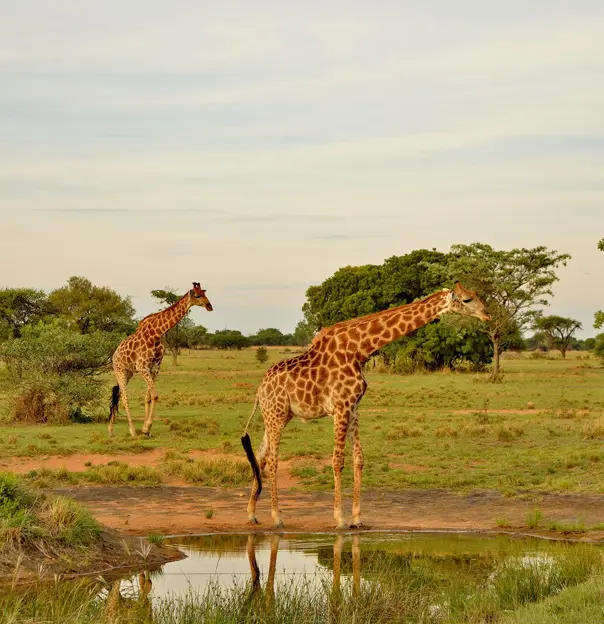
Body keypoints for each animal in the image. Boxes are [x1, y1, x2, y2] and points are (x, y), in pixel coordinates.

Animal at [108, 284, 212, 438]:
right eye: (198, 296)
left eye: (205, 294)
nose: (210, 306)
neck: (156, 334)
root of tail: (114, 355)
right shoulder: (143, 367)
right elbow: (155, 395)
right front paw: (146, 428)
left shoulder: (155, 368)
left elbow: (149, 396)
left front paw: (146, 429)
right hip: (119, 370)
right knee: (125, 397)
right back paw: (132, 431)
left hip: (128, 372)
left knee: (119, 394)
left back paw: (110, 430)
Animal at [242, 280, 490, 528]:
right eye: (467, 299)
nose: (487, 314)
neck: (359, 350)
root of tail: (260, 390)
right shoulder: (341, 406)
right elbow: (337, 461)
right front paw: (340, 518)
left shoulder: (354, 408)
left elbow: (359, 459)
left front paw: (357, 518)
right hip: (276, 414)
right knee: (272, 459)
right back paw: (276, 516)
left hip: (279, 415)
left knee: (261, 455)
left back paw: (252, 513)